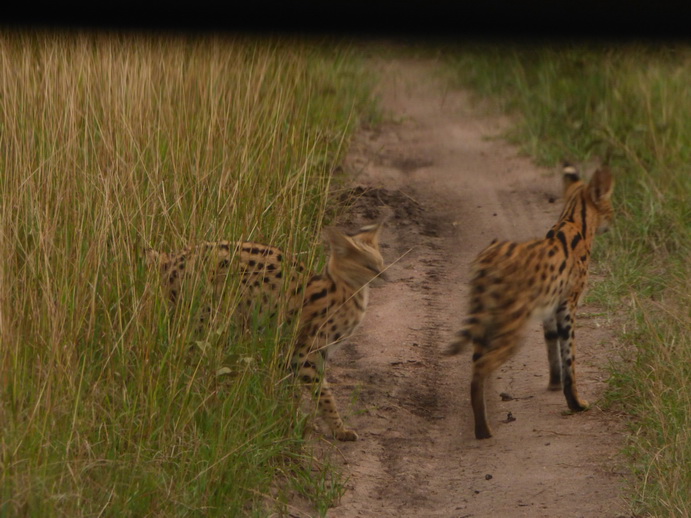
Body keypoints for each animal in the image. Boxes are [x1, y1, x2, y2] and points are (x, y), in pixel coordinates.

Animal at [145, 219, 390, 442]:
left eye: (380, 262)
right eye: (368, 266)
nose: (385, 275)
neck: (345, 290)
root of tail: (171, 258)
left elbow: (291, 391)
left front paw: (292, 421)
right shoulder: (306, 353)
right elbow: (323, 394)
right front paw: (337, 429)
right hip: (207, 320)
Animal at [448, 165, 616, 440]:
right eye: (610, 206)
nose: (613, 222)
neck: (573, 219)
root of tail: (487, 261)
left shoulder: (551, 308)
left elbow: (552, 347)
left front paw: (554, 384)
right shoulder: (569, 304)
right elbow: (569, 357)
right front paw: (576, 403)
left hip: (486, 318)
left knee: (476, 366)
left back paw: (482, 422)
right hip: (511, 324)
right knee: (482, 366)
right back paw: (484, 429)